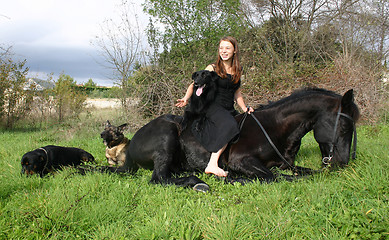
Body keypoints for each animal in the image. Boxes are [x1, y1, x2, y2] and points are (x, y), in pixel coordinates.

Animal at [105, 70, 358, 191]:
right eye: (345, 126)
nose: (343, 163)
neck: (273, 129)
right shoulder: (242, 160)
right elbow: (273, 177)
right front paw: (235, 179)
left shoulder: (288, 164)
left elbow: (303, 173)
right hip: (166, 137)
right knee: (159, 179)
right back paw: (198, 182)